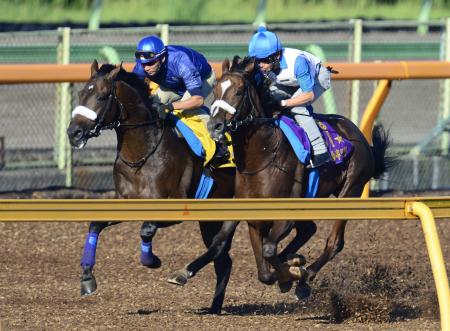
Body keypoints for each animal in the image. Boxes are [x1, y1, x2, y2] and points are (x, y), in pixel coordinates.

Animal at [66, 61, 237, 316]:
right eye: (80, 94)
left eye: (101, 96)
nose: (73, 133)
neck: (143, 154)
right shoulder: (126, 201)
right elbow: (96, 224)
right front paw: (87, 278)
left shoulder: (174, 207)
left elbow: (146, 229)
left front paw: (152, 260)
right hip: (209, 220)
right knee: (223, 260)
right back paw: (213, 307)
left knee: (221, 250)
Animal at [209, 57, 392, 300]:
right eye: (215, 89)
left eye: (239, 91)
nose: (214, 126)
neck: (263, 156)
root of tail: (359, 135)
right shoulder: (253, 217)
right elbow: (264, 271)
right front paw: (290, 269)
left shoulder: (284, 216)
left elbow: (269, 250)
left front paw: (293, 275)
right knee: (308, 230)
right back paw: (295, 261)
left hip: (351, 188)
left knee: (334, 242)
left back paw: (305, 277)